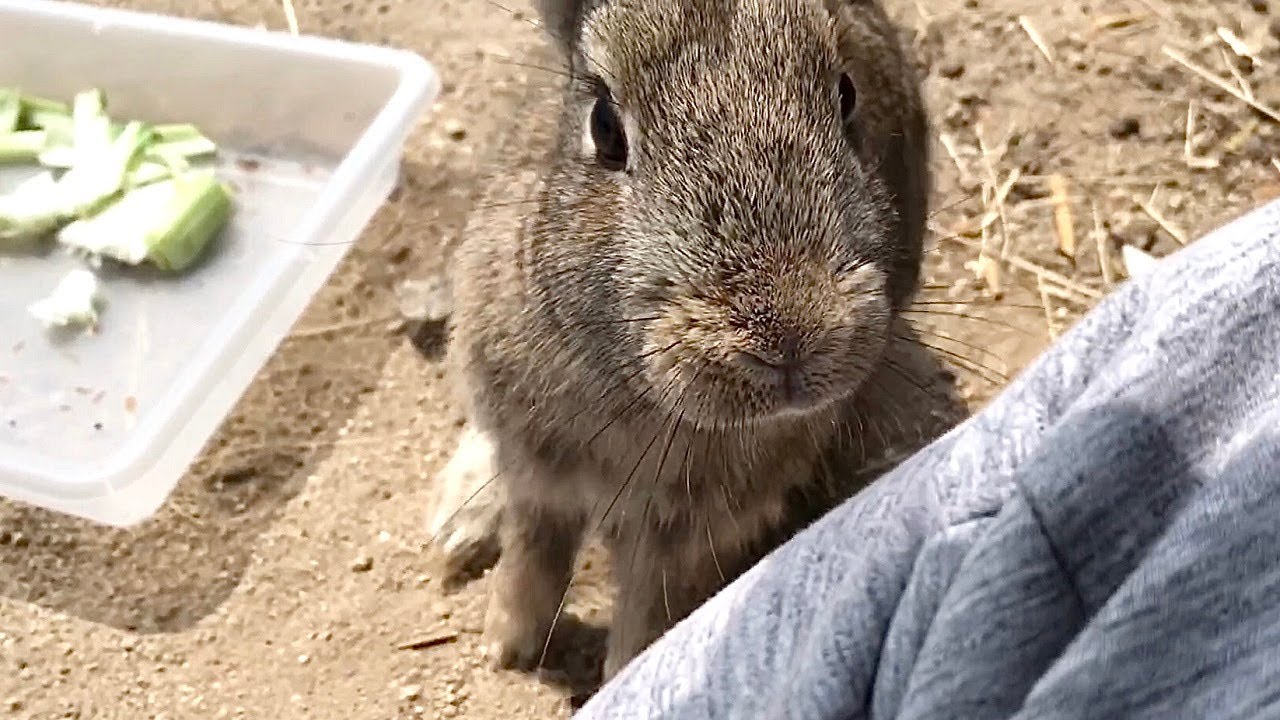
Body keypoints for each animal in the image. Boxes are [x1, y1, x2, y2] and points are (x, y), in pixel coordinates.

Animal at [429, 0, 959, 684]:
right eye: (604, 126)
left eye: (846, 95)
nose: (790, 340)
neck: (637, 398)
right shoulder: (538, 467)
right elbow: (533, 555)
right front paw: (505, 649)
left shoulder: (685, 526)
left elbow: (646, 614)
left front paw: (620, 679)